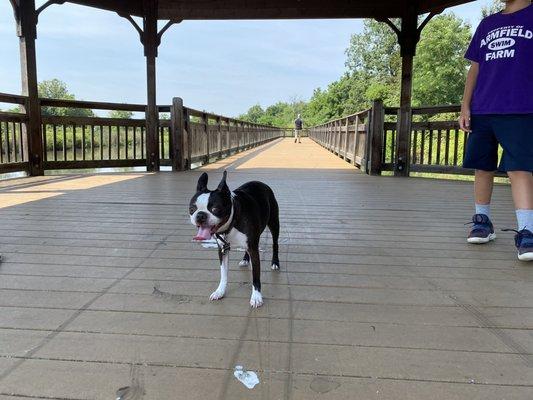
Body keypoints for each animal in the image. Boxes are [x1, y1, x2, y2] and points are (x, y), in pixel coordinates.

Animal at [188, 170, 280, 308]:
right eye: (192, 209)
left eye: (215, 209)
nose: (200, 215)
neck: (232, 221)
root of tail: (260, 182)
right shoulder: (223, 250)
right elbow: (223, 274)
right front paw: (220, 291)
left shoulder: (254, 249)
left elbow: (256, 275)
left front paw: (256, 297)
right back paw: (245, 260)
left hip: (274, 223)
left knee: (275, 244)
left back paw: (275, 262)